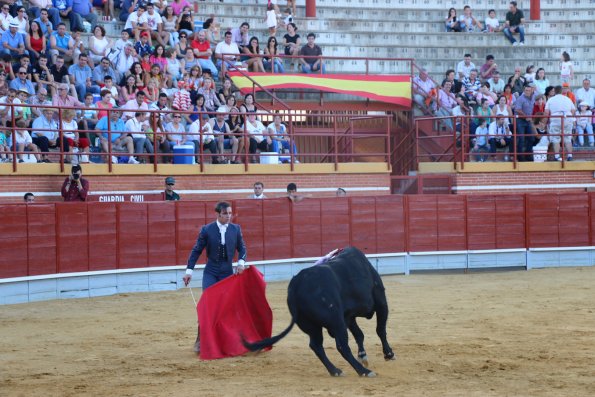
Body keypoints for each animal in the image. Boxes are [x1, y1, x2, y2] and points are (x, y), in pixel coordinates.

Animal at [242, 246, 396, 376]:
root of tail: (296, 285)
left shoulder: (348, 316)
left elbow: (359, 334)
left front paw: (363, 355)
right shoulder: (381, 304)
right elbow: (380, 330)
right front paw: (389, 354)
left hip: (311, 325)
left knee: (316, 345)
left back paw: (335, 371)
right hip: (336, 321)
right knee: (342, 346)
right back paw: (363, 371)